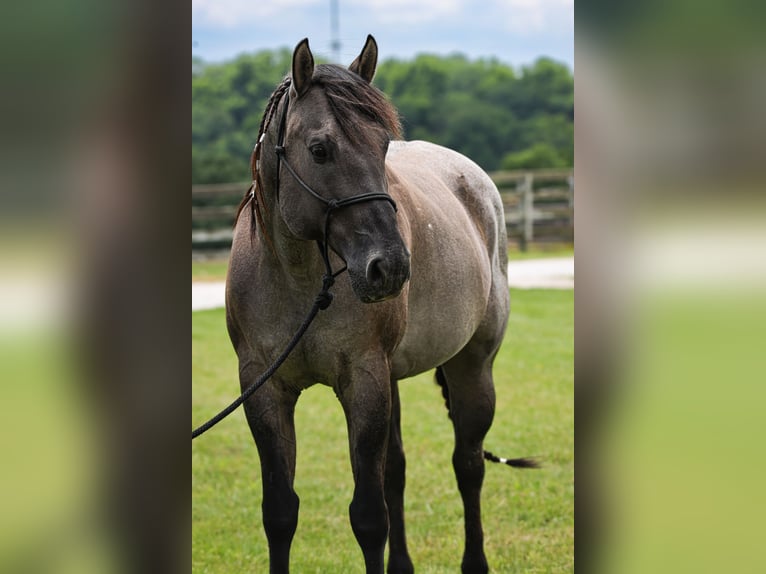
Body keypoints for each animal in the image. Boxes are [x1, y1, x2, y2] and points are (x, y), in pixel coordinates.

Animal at [225, 35, 529, 574]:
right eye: (319, 150)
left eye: (383, 145)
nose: (390, 266)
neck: (300, 280)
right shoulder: (263, 388)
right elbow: (280, 512)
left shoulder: (364, 382)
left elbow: (368, 516)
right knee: (399, 472)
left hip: (472, 366)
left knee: (468, 464)